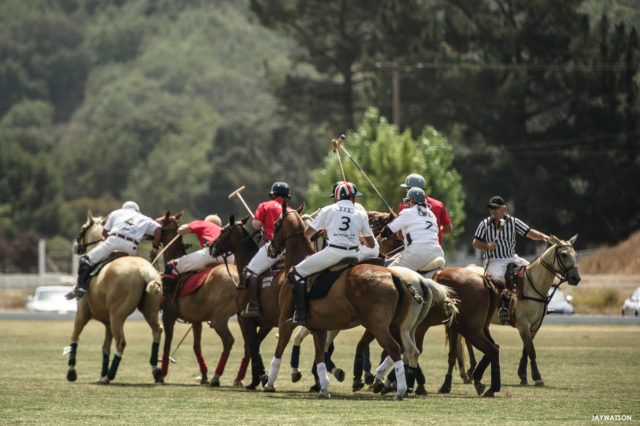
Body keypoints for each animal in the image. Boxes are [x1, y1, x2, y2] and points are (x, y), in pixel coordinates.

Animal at [65, 211, 164, 384]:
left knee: (121, 342)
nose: (76, 247)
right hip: (149, 309)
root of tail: (143, 269)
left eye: (83, 228)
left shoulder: (82, 312)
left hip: (118, 314)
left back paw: (110, 375)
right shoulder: (107, 322)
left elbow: (74, 338)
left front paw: (72, 372)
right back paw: (155, 371)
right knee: (157, 331)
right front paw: (101, 374)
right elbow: (105, 348)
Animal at [156, 211, 240, 388]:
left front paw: (162, 373)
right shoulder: (196, 320)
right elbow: (196, 347)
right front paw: (204, 376)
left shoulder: (168, 315)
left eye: (159, 221)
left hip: (219, 318)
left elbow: (167, 342)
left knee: (229, 340)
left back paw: (217, 377)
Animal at [264, 201, 418, 402]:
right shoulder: (318, 326)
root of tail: (394, 276)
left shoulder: (285, 319)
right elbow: (320, 357)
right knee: (403, 348)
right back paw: (384, 381)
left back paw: (397, 389)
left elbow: (279, 349)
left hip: (377, 324)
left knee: (394, 348)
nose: (270, 249)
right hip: (395, 324)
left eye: (276, 225)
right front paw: (323, 387)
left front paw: (269, 383)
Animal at [462, 235, 584, 388]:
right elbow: (531, 350)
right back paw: (469, 371)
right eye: (563, 254)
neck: (532, 286)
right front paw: (537, 377)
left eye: (575, 254)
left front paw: (523, 375)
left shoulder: (535, 325)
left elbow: (526, 349)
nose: (576, 278)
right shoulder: (523, 323)